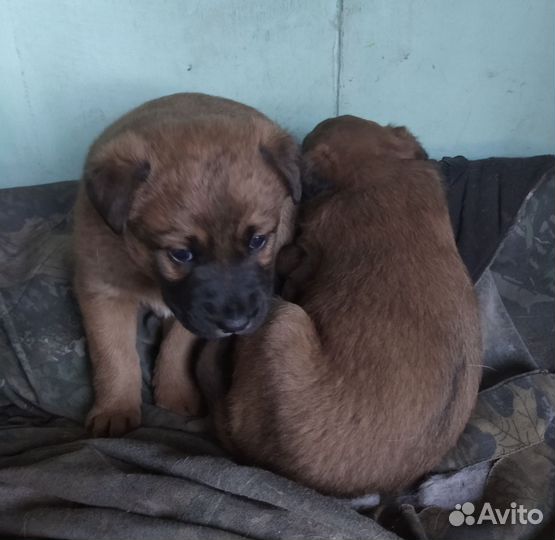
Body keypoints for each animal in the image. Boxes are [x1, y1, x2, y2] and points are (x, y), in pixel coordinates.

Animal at [75, 93, 300, 436]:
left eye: (258, 241)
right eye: (181, 254)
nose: (237, 324)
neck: (149, 274)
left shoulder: (194, 313)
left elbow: (176, 347)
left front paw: (174, 394)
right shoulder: (103, 293)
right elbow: (114, 355)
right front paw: (115, 409)